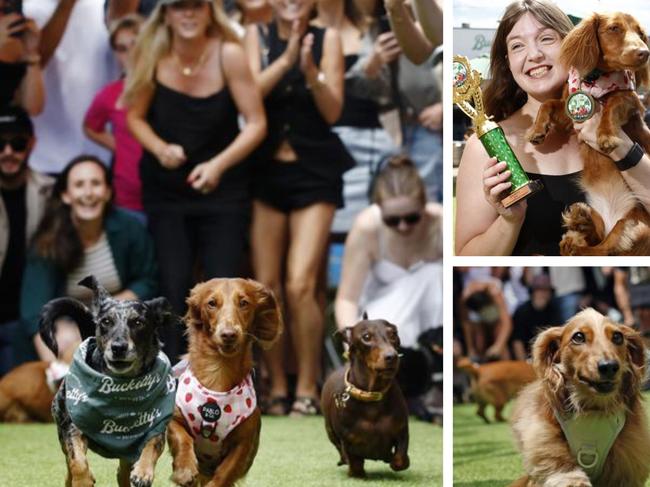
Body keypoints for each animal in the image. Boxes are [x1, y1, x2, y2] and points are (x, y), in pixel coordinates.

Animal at [40, 276, 177, 486]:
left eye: (138, 322)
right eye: (106, 321)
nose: (118, 347)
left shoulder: (156, 427)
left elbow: (152, 444)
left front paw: (143, 472)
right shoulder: (72, 428)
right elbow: (77, 460)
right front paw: (83, 479)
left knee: (123, 470)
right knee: (69, 467)